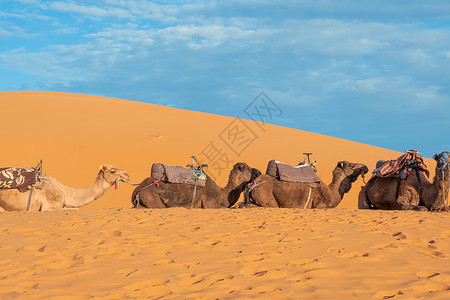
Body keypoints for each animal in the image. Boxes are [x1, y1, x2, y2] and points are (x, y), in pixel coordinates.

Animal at [132, 162, 262, 209]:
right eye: (249, 169)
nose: (260, 172)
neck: (222, 194)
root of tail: (137, 190)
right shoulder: (210, 204)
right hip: (151, 196)